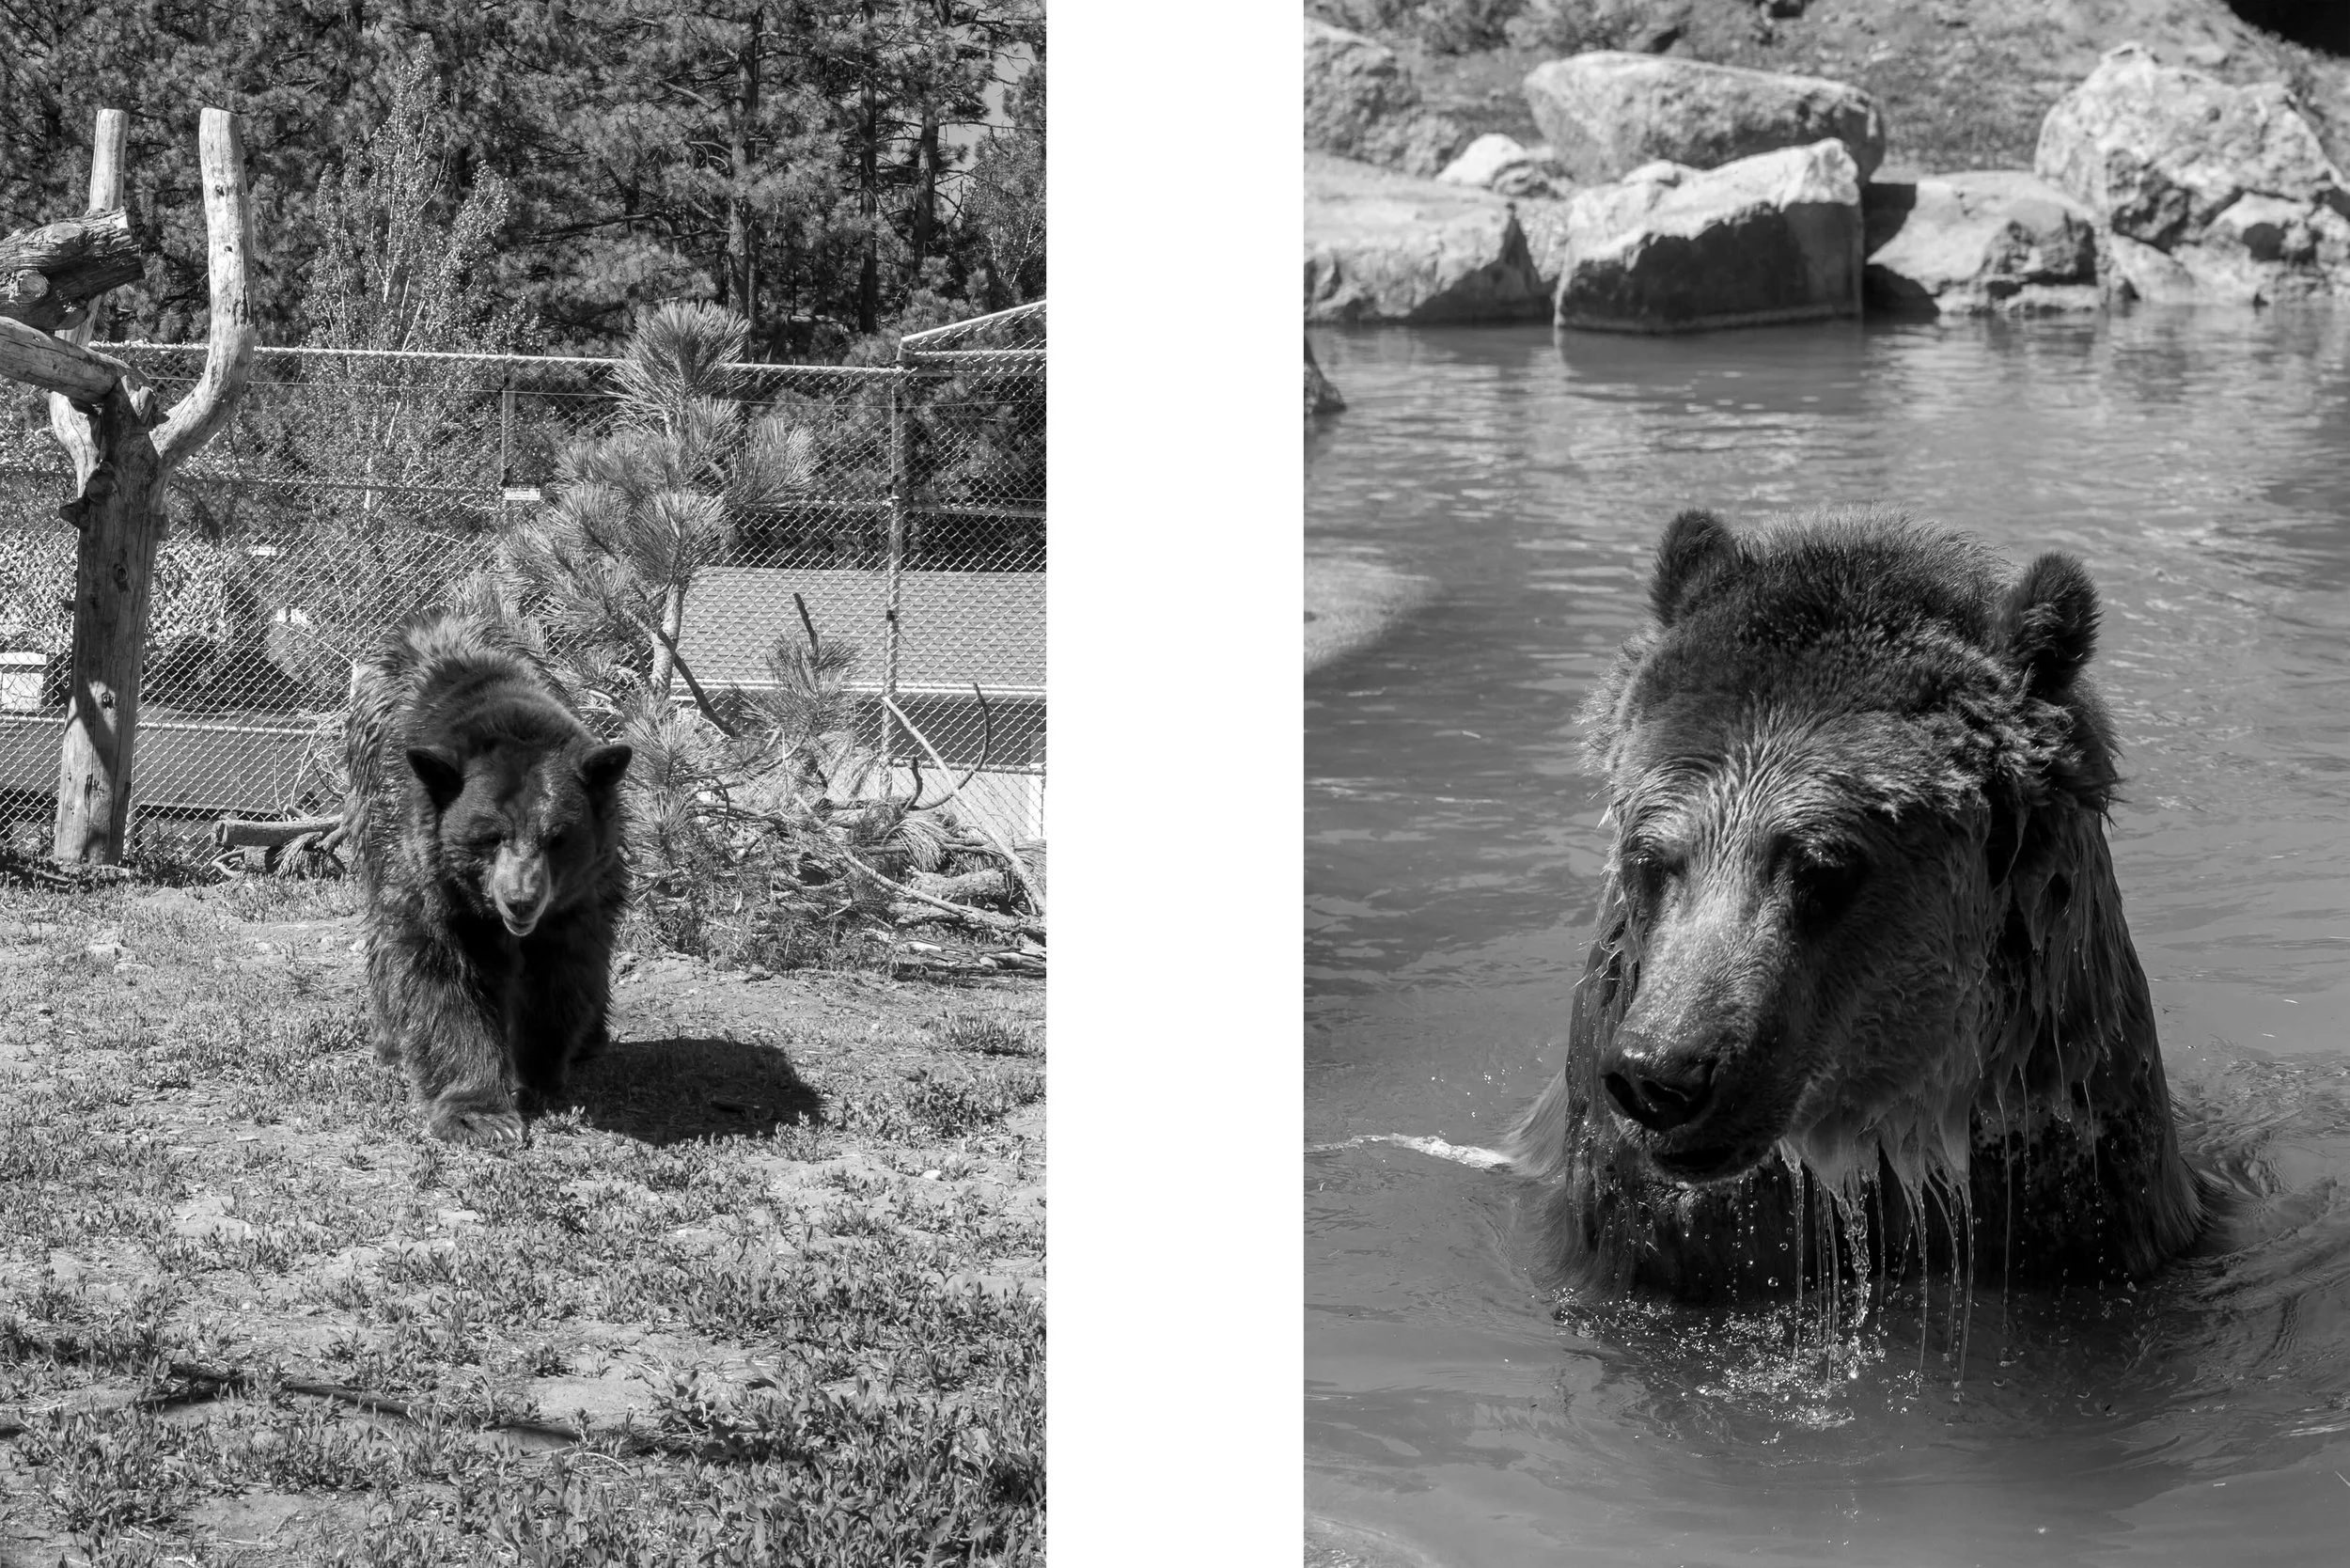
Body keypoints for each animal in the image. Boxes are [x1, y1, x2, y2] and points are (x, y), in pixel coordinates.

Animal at [343, 610, 632, 1146]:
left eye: (557, 837)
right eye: (490, 835)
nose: (520, 899)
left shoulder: (579, 897)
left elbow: (560, 972)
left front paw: (540, 1070)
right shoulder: (431, 881)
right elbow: (446, 979)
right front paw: (479, 1113)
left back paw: (591, 1040)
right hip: (369, 805)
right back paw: (391, 1039)